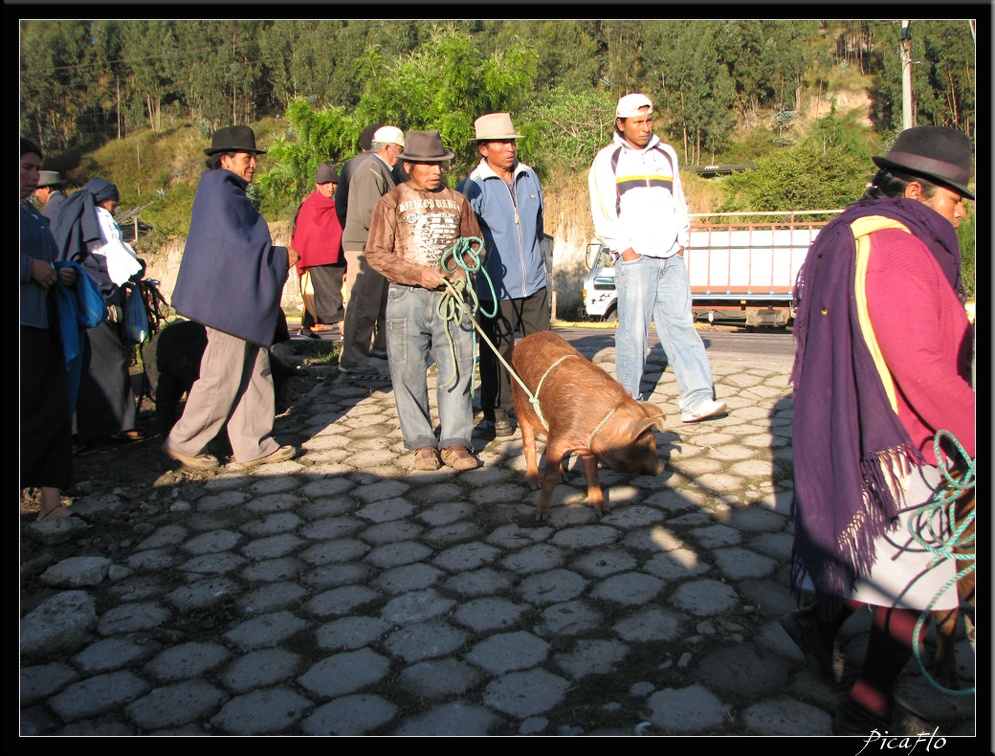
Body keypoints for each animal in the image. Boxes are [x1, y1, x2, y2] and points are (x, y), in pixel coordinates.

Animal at [510, 332, 664, 520]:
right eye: (646, 441)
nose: (661, 467)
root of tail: (527, 338)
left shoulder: (587, 448)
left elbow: (592, 476)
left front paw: (603, 512)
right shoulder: (560, 436)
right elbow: (550, 478)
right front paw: (541, 516)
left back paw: (565, 478)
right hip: (518, 403)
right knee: (529, 444)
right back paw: (534, 484)